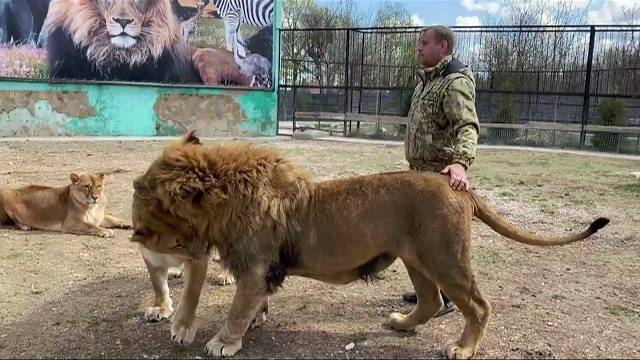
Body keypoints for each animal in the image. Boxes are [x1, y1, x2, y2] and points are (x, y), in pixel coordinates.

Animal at [129, 131, 608, 358]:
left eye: (146, 191)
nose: (134, 232)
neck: (224, 196)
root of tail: (458, 186)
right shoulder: (261, 272)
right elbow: (254, 306)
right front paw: (255, 323)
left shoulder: (255, 267)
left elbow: (235, 310)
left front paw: (223, 342)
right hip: (417, 259)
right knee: (431, 302)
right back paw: (401, 323)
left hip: (444, 257)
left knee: (478, 305)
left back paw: (462, 348)